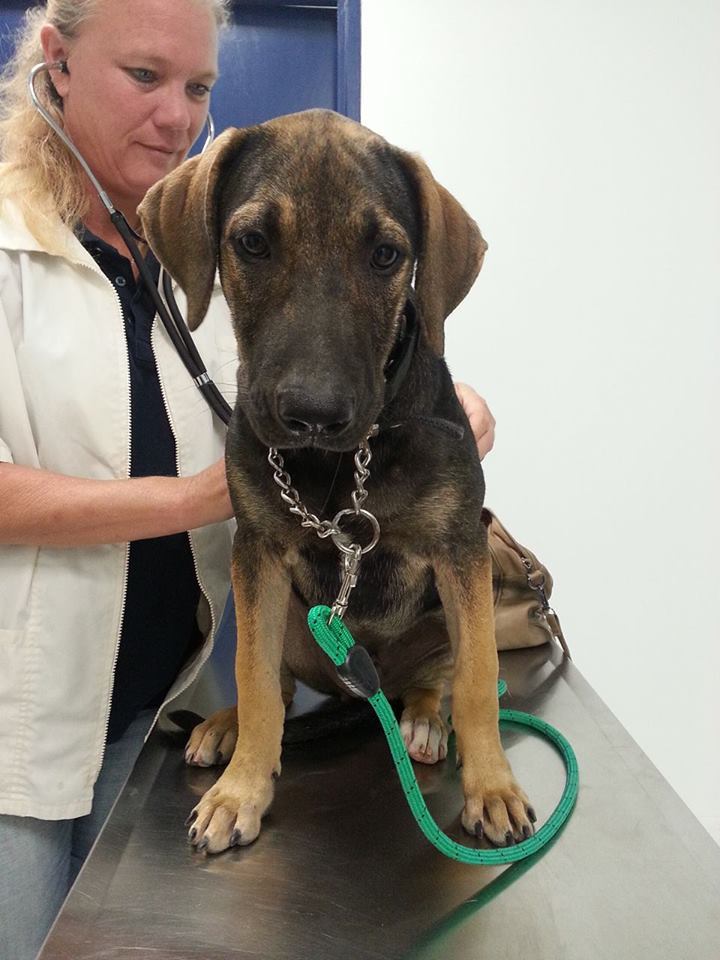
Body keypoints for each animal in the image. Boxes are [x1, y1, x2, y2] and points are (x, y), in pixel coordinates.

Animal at [138, 109, 534, 855]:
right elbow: (254, 674)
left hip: (444, 620)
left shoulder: (461, 551)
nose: (313, 415)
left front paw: (492, 786)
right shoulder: (259, 554)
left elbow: (478, 679)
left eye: (385, 255)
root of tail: (362, 690)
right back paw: (226, 727)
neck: (341, 469)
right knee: (278, 684)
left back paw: (423, 719)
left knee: (436, 680)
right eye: (252, 242)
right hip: (293, 618)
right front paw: (241, 789)